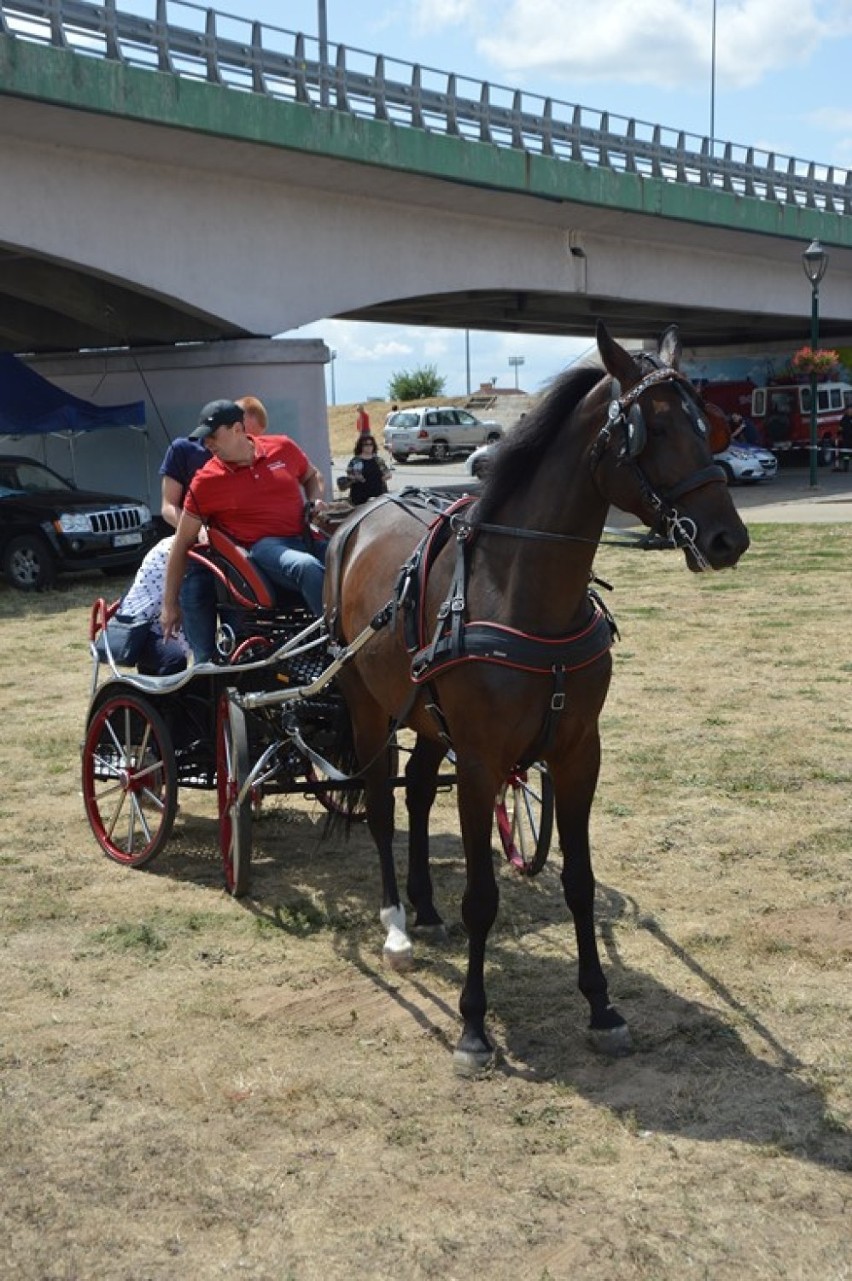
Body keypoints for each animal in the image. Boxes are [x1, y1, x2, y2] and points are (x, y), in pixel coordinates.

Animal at [322, 320, 748, 1070]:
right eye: (654, 428)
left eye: (708, 425)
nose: (729, 537)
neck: (520, 590)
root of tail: (358, 518)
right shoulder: (481, 762)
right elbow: (483, 895)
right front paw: (473, 1025)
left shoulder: (579, 752)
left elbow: (579, 881)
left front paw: (602, 1005)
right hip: (368, 705)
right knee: (379, 806)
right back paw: (398, 925)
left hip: (426, 717)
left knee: (418, 788)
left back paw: (424, 908)